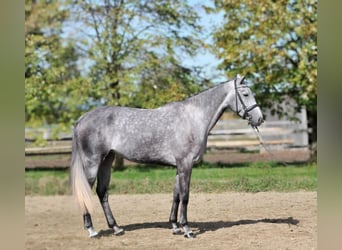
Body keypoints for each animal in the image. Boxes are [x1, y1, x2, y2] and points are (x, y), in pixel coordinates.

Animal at [70, 74, 264, 238]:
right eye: (245, 94)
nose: (260, 119)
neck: (192, 118)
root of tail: (81, 119)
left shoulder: (179, 167)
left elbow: (176, 195)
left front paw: (175, 226)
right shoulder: (186, 164)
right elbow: (185, 196)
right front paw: (187, 230)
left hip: (106, 161)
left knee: (102, 193)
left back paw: (116, 228)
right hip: (93, 162)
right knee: (86, 192)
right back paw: (92, 230)